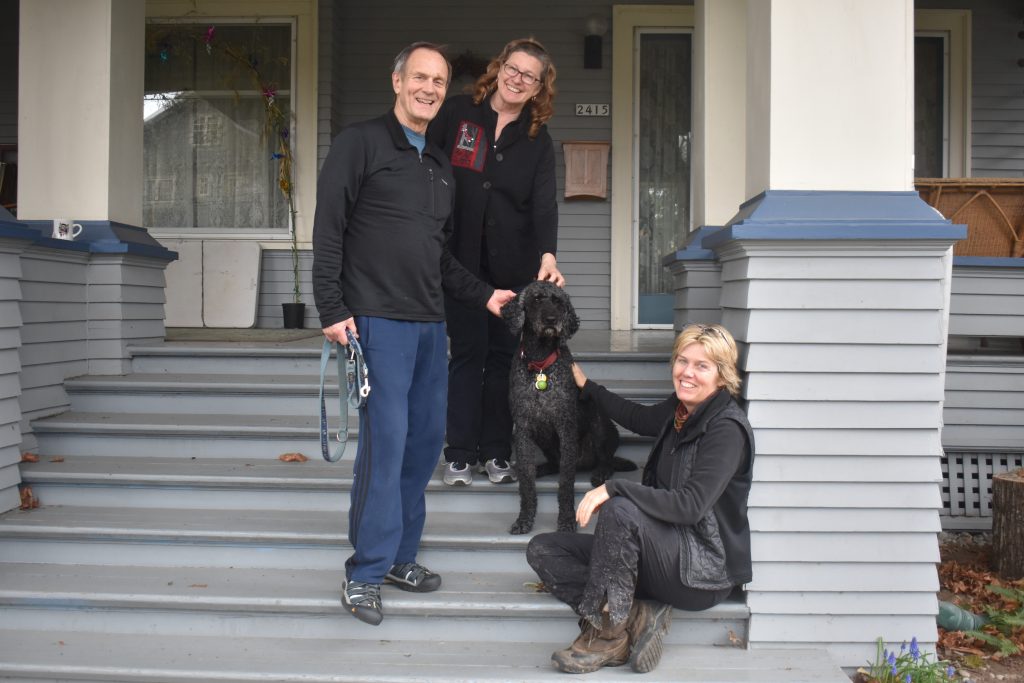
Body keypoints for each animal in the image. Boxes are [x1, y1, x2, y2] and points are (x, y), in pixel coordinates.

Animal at [501, 282, 634, 532]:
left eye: (559, 302)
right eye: (536, 299)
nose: (552, 319)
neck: (540, 363)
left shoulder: (566, 428)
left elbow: (565, 483)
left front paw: (566, 519)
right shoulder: (523, 429)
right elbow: (526, 481)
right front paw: (524, 519)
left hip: (599, 424)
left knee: (606, 459)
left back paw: (601, 472)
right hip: (543, 438)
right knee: (554, 463)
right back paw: (542, 468)